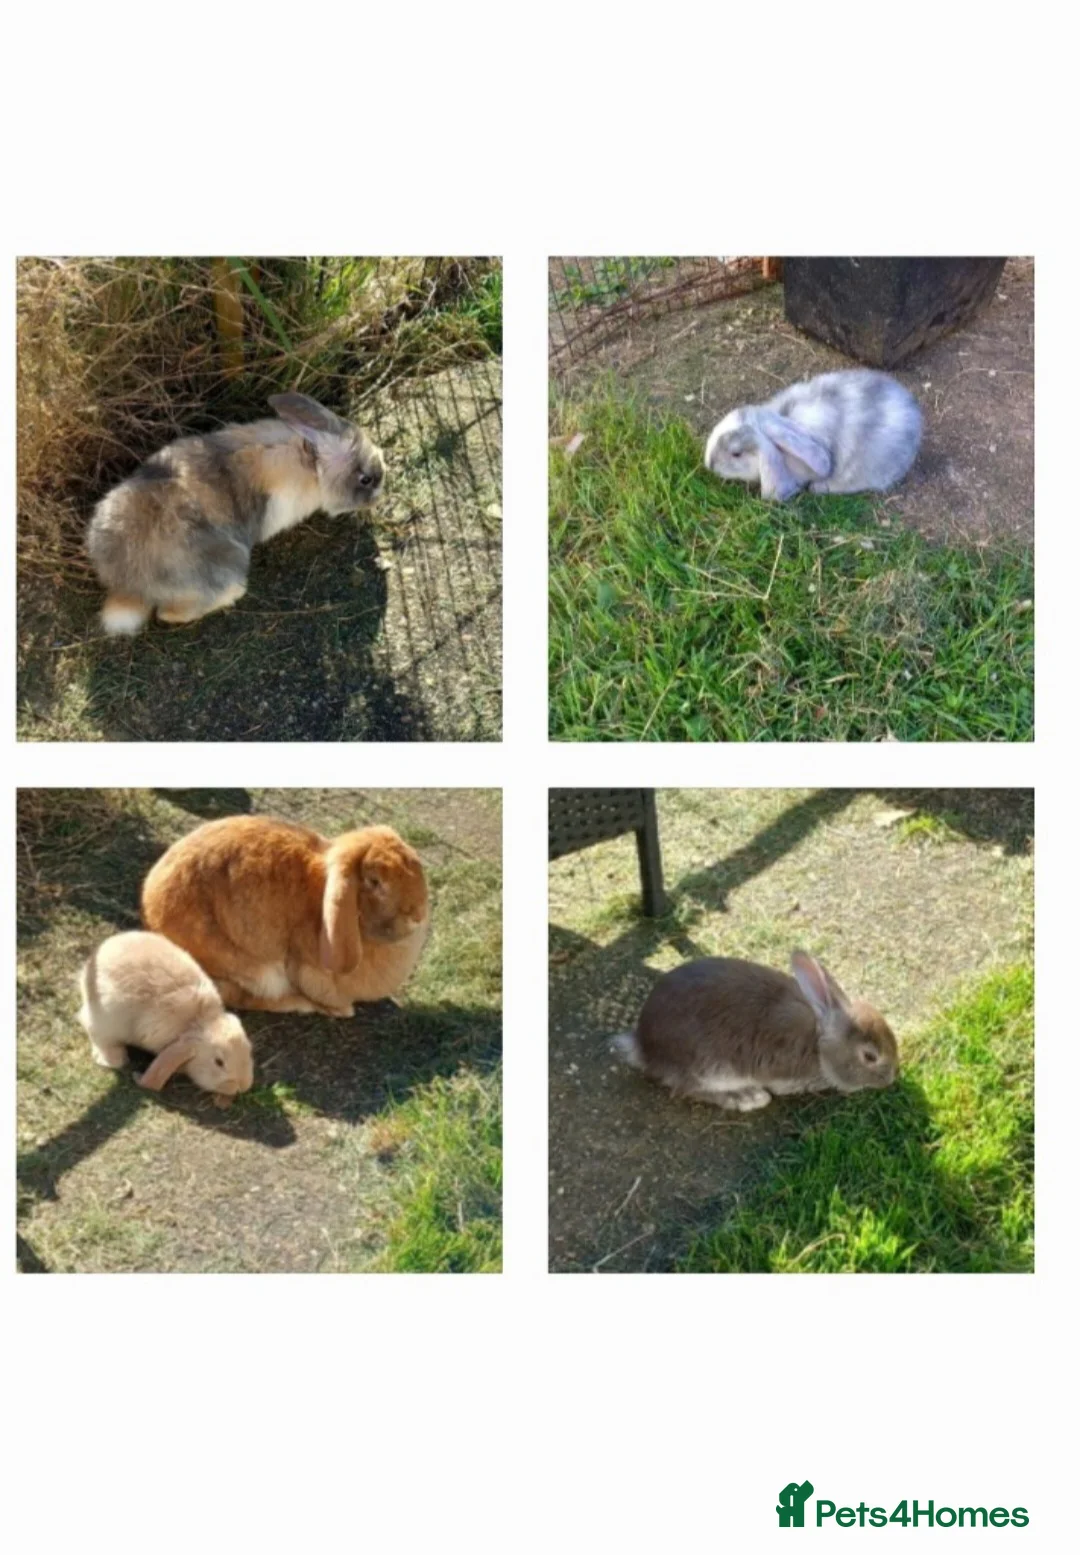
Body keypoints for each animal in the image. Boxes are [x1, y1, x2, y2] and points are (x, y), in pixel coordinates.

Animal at [87, 392, 385, 634]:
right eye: (365, 479)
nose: (380, 495)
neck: (311, 466)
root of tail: (127, 585)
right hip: (226, 567)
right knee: (169, 613)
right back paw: (231, 597)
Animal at [612, 950, 898, 1111]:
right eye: (870, 1056)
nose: (892, 1079)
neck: (818, 1043)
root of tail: (643, 1045)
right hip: (707, 1067)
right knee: (686, 1088)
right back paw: (746, 1098)